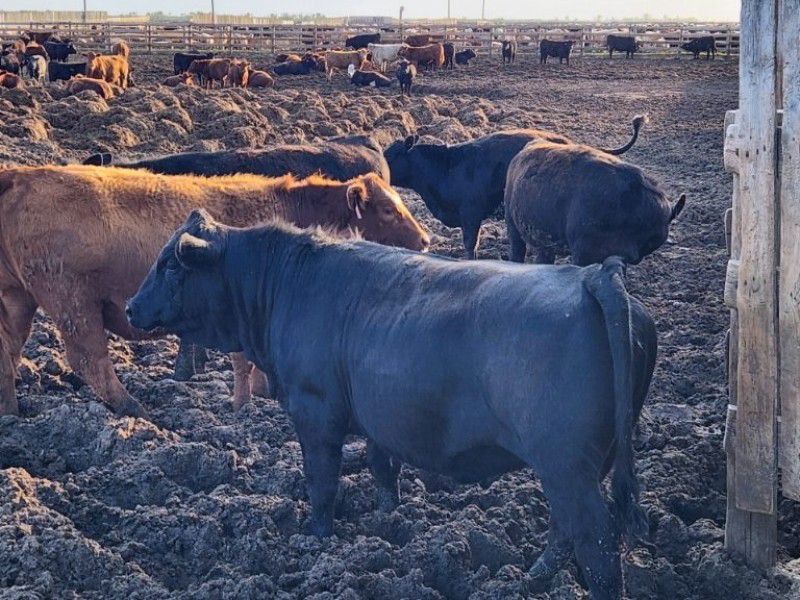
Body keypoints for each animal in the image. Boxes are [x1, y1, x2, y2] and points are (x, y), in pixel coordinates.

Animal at [0, 166, 429, 418]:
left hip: (16, 300)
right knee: (89, 359)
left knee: (9, 354)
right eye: (388, 210)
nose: (426, 240)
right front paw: (244, 407)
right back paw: (136, 409)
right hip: (71, 301)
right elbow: (245, 363)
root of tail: (22, 175)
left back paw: (10, 412)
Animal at [128, 210, 656, 600]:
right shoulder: (377, 418)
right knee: (566, 530)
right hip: (580, 465)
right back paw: (534, 577)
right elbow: (383, 469)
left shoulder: (315, 412)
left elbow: (322, 482)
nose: (132, 308)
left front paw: (316, 539)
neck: (288, 283)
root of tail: (592, 276)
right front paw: (388, 518)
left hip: (566, 464)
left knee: (597, 544)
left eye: (170, 264)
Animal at [505, 141, 686, 266]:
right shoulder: (582, 255)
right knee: (517, 251)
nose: (633, 255)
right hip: (513, 226)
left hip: (545, 244)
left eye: (653, 235)